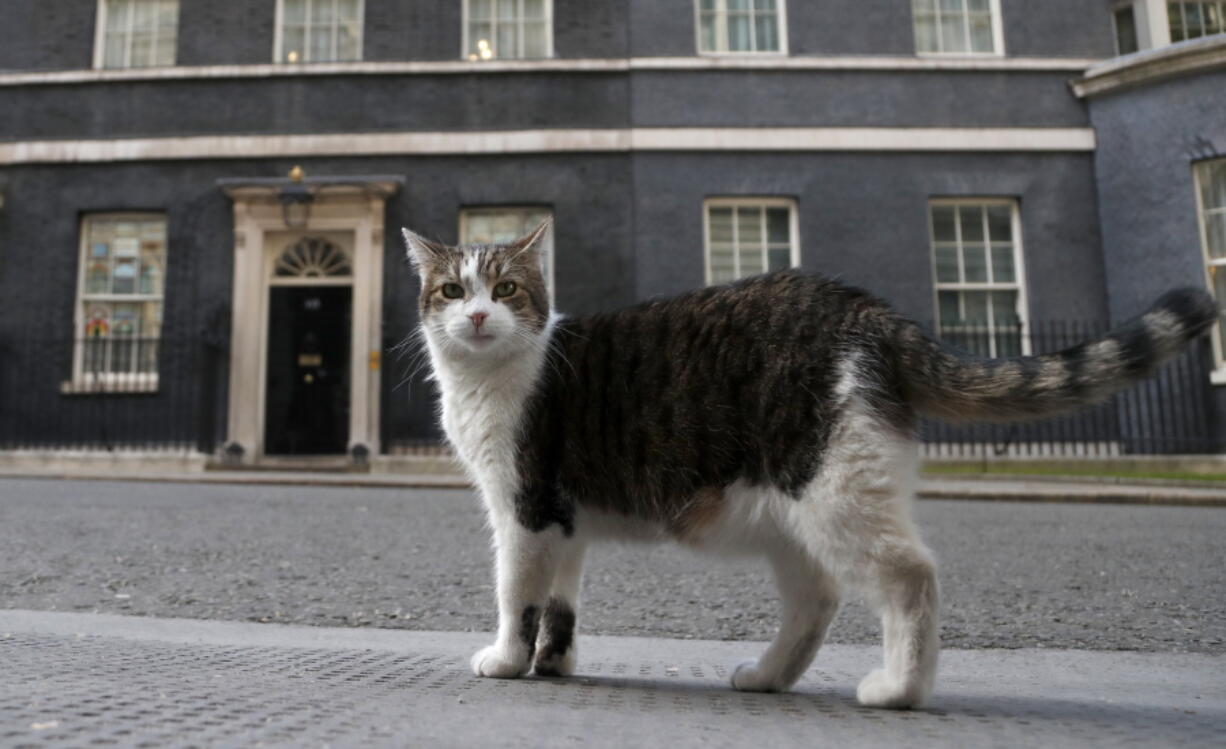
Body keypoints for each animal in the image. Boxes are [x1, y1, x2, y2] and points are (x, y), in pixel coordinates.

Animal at [402, 220, 1216, 710]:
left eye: (507, 288)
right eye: (452, 289)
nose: (477, 316)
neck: (493, 378)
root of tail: (866, 311)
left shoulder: (524, 507)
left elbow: (517, 593)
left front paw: (507, 659)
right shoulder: (565, 521)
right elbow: (561, 602)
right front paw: (555, 663)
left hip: (833, 491)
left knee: (911, 577)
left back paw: (899, 689)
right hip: (792, 514)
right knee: (816, 600)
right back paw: (766, 677)